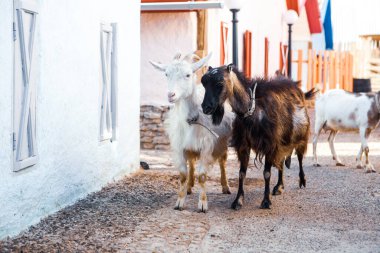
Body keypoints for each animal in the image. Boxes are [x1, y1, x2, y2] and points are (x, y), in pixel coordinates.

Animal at [149, 52, 233, 211]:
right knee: (192, 164)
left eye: (188, 75)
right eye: (166, 74)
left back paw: (225, 187)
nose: (171, 95)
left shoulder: (207, 147)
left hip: (222, 143)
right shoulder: (180, 146)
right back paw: (189, 187)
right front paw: (180, 201)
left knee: (222, 163)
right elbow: (183, 174)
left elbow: (202, 176)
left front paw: (203, 204)